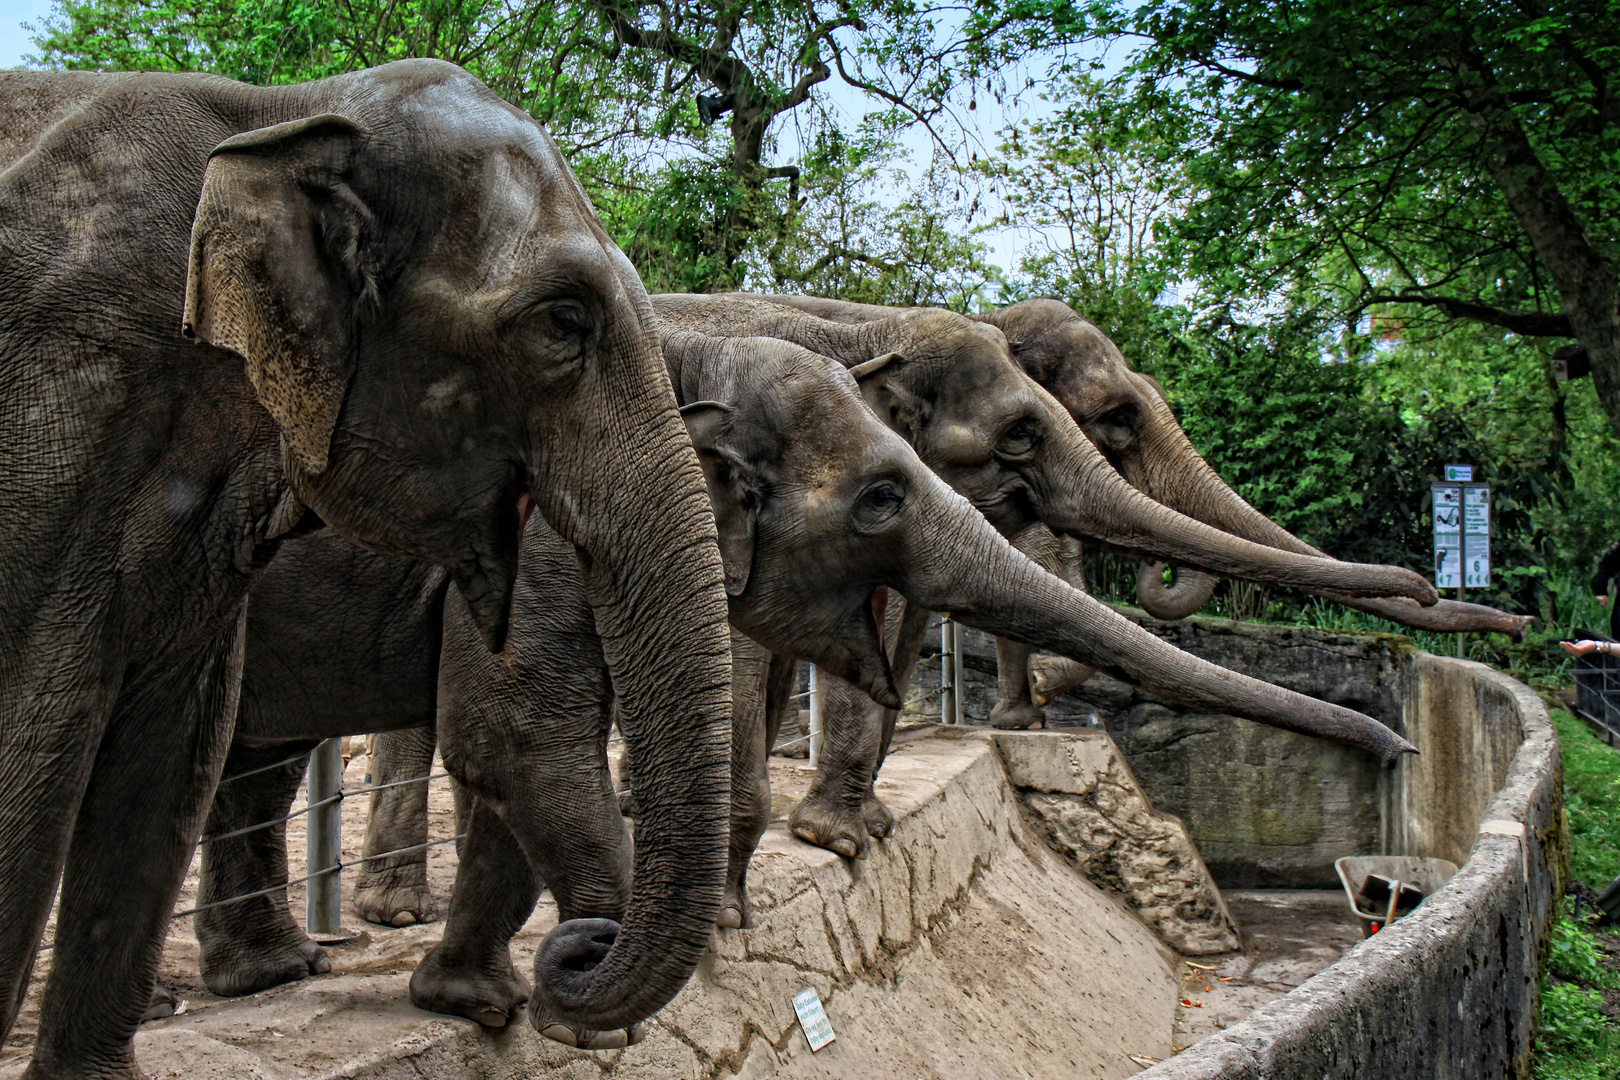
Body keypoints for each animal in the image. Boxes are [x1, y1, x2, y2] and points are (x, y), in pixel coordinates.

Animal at [0, 63, 735, 1075]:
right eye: (564, 320)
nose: (583, 946)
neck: (287, 114)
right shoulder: (64, 388)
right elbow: (37, 725)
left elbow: (171, 745)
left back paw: (272, 973)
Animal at [183, 331, 1412, 1049]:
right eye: (879, 497)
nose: (1394, 749)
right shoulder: (561, 524)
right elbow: (525, 731)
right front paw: (659, 955)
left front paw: (495, 1000)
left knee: (253, 757)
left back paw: (277, 968)